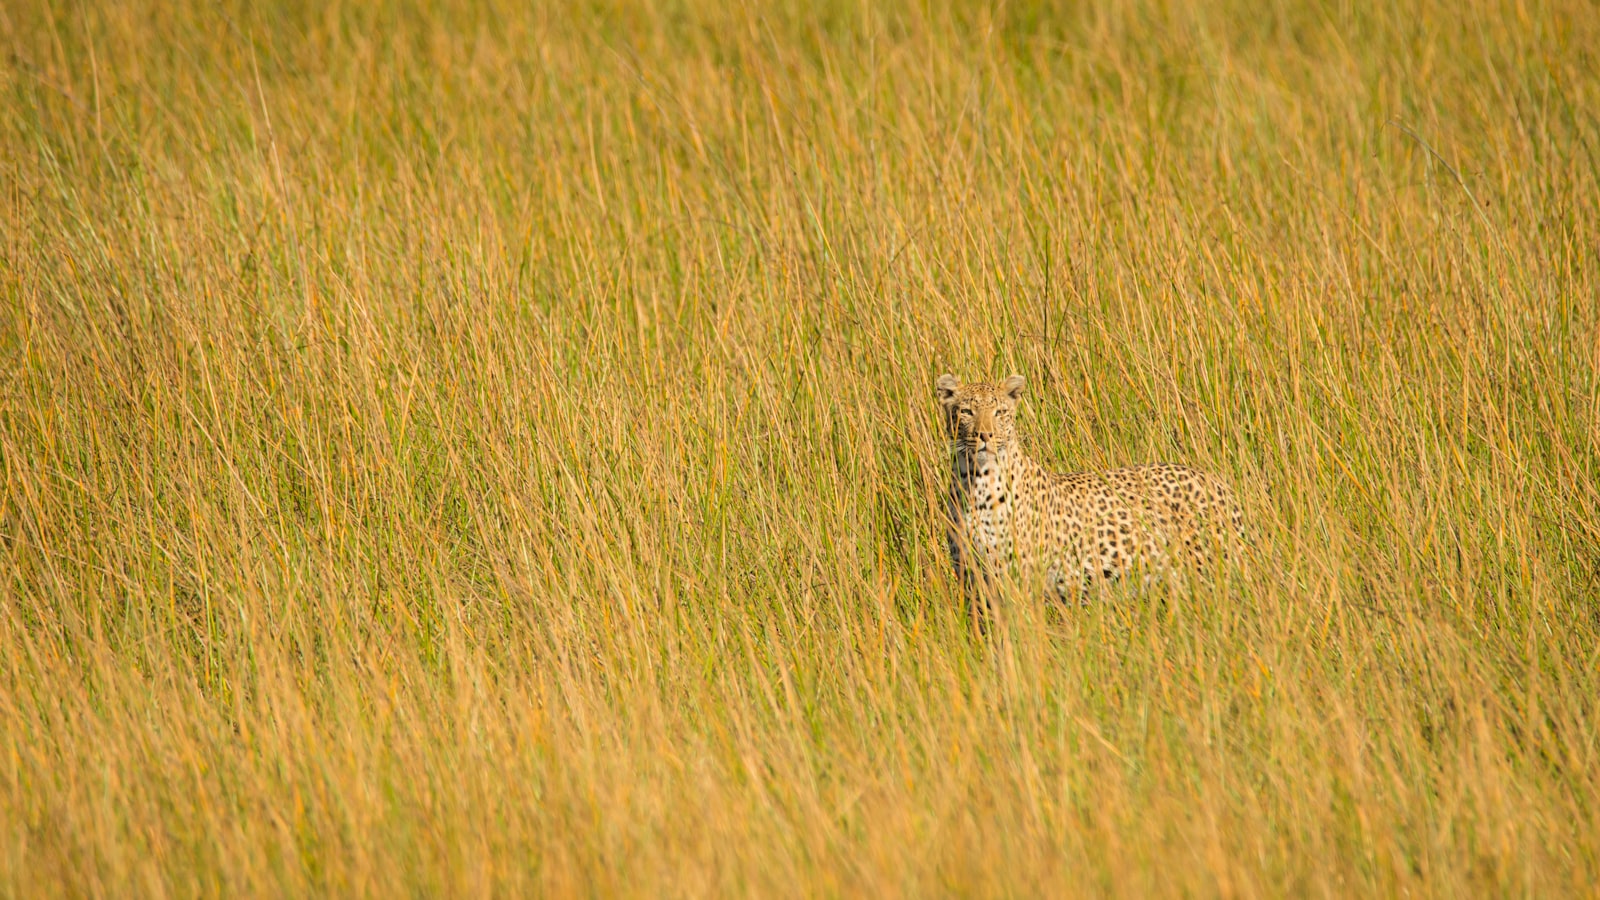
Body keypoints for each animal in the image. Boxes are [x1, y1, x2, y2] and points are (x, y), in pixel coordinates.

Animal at [934, 371, 1248, 602]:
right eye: (966, 411)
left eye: (999, 412)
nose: (984, 434)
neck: (974, 481)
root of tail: (1217, 482)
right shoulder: (971, 581)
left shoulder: (1019, 581)